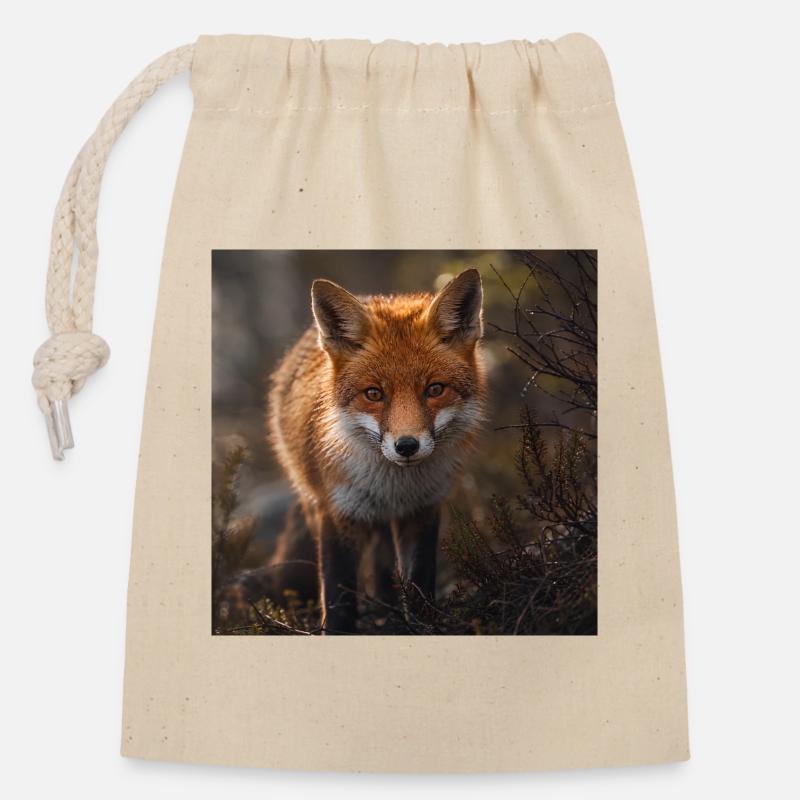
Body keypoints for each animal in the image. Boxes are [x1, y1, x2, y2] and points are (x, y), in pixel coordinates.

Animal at [267, 268, 488, 633]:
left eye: (435, 389)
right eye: (373, 394)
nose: (407, 445)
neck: (393, 487)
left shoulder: (422, 509)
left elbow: (419, 583)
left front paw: (423, 626)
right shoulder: (338, 512)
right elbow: (339, 598)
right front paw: (337, 633)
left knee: (384, 568)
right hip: (314, 504)